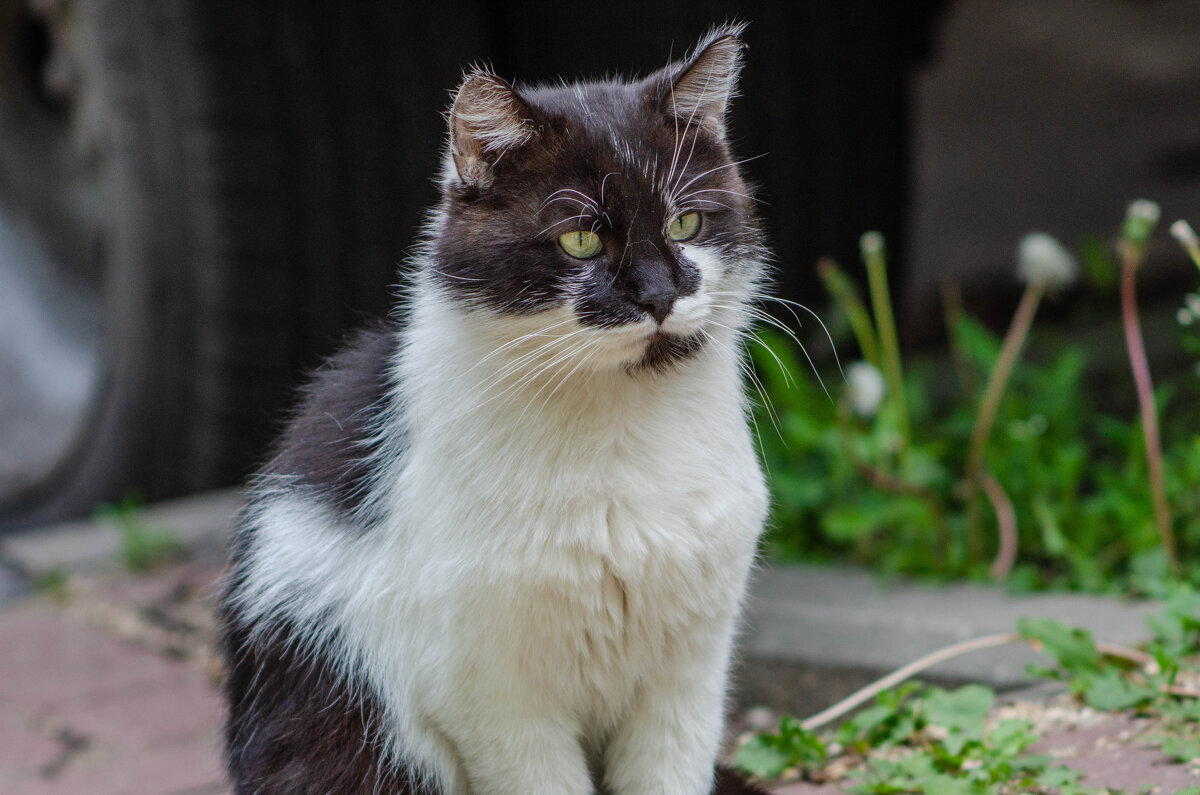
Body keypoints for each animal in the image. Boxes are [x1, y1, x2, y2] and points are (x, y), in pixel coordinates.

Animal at [219, 21, 768, 792]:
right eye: (580, 239)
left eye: (687, 223)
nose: (659, 295)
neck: (621, 426)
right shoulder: (490, 697)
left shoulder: (690, 672)